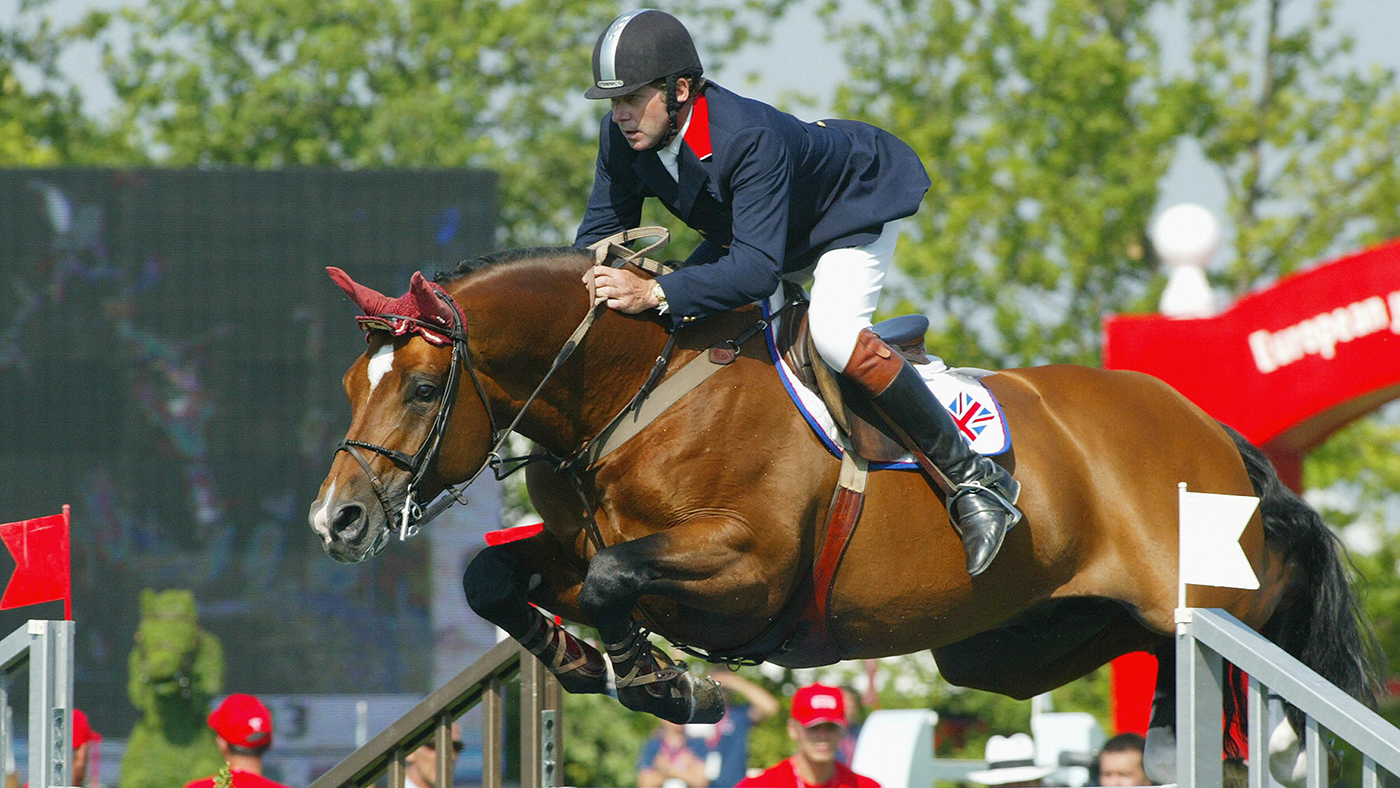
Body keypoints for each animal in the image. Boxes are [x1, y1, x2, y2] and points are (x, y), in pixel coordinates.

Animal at [307, 246, 1381, 784]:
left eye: (422, 386)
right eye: (352, 383)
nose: (337, 522)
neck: (635, 395)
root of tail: (1211, 428)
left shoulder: (743, 571)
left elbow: (616, 586)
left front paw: (668, 687)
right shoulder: (586, 552)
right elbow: (497, 576)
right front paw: (586, 664)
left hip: (1204, 597)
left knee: (1258, 654)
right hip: (1019, 644)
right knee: (1156, 680)